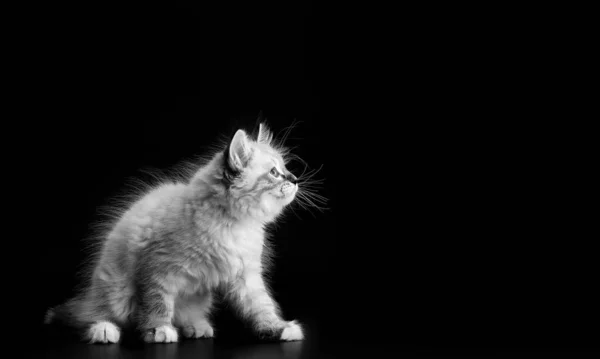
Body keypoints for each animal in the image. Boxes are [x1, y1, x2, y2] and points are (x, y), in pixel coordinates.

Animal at [45, 122, 322, 344]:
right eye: (274, 173)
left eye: (286, 169)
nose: (295, 179)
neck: (234, 224)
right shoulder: (158, 270)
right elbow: (157, 304)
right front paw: (158, 330)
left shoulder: (246, 275)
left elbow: (261, 306)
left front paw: (278, 328)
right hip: (116, 291)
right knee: (96, 315)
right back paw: (103, 330)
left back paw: (195, 327)